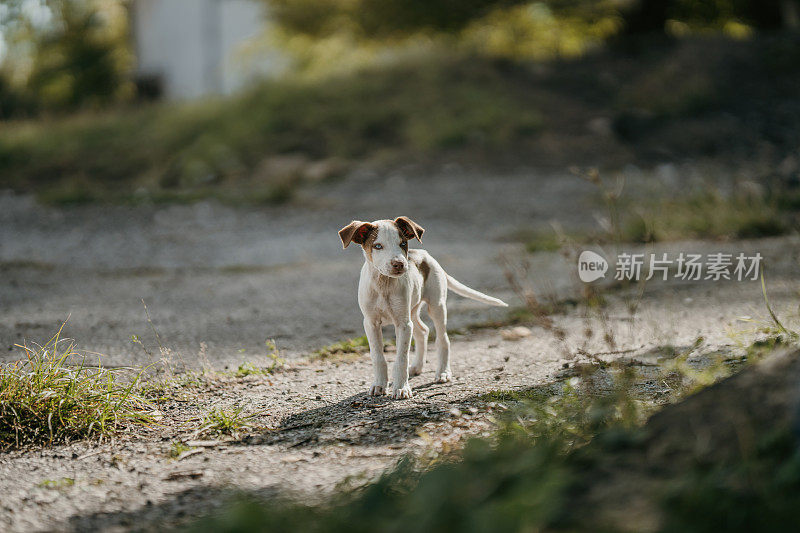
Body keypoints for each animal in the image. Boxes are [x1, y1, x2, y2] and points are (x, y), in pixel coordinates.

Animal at [338, 216, 506, 400]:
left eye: (403, 243)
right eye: (377, 246)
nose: (399, 264)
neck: (384, 284)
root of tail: (425, 255)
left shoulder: (403, 324)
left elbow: (401, 358)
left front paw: (401, 388)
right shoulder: (371, 323)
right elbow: (378, 356)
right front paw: (379, 385)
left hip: (436, 307)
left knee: (443, 339)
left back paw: (443, 372)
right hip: (412, 310)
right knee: (423, 331)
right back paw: (417, 367)